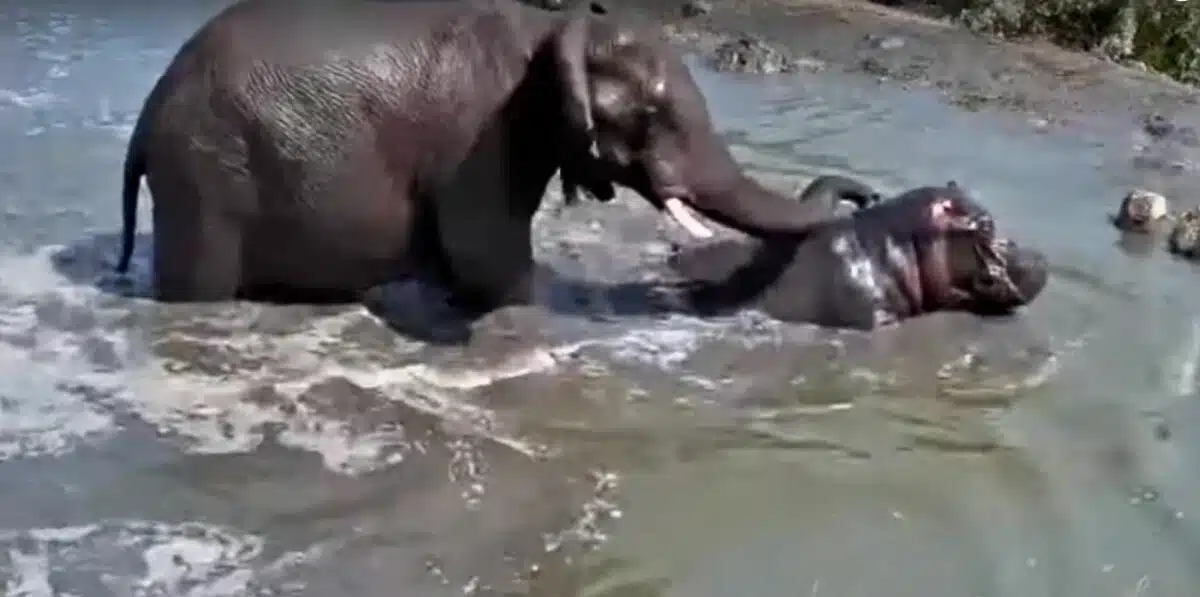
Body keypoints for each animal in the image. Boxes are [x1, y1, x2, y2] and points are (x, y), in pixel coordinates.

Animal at [112, 0, 849, 311]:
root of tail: (147, 117)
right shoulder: (484, 132)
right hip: (206, 178)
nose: (863, 194)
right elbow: (486, 256)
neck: (556, 25)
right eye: (651, 116)